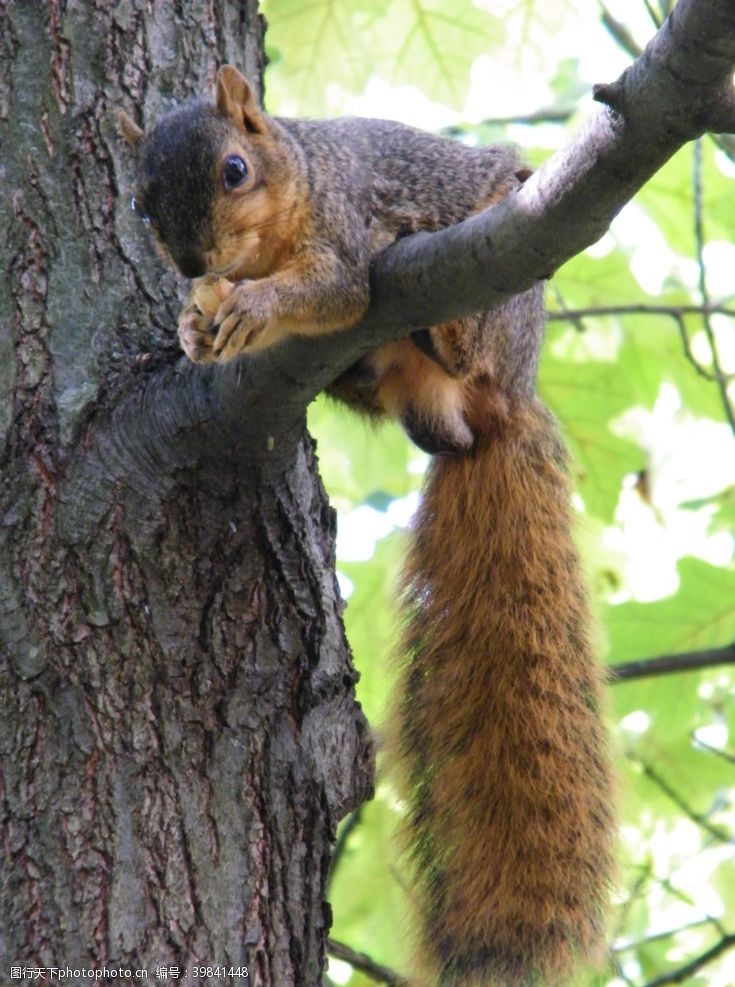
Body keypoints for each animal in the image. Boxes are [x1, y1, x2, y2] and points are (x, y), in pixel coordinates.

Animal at [119, 65, 616, 984]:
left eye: (235, 170)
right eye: (138, 203)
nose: (197, 262)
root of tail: (498, 408)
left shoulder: (344, 233)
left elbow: (332, 288)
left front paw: (256, 303)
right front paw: (193, 322)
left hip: (500, 308)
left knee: (466, 339)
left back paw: (448, 318)